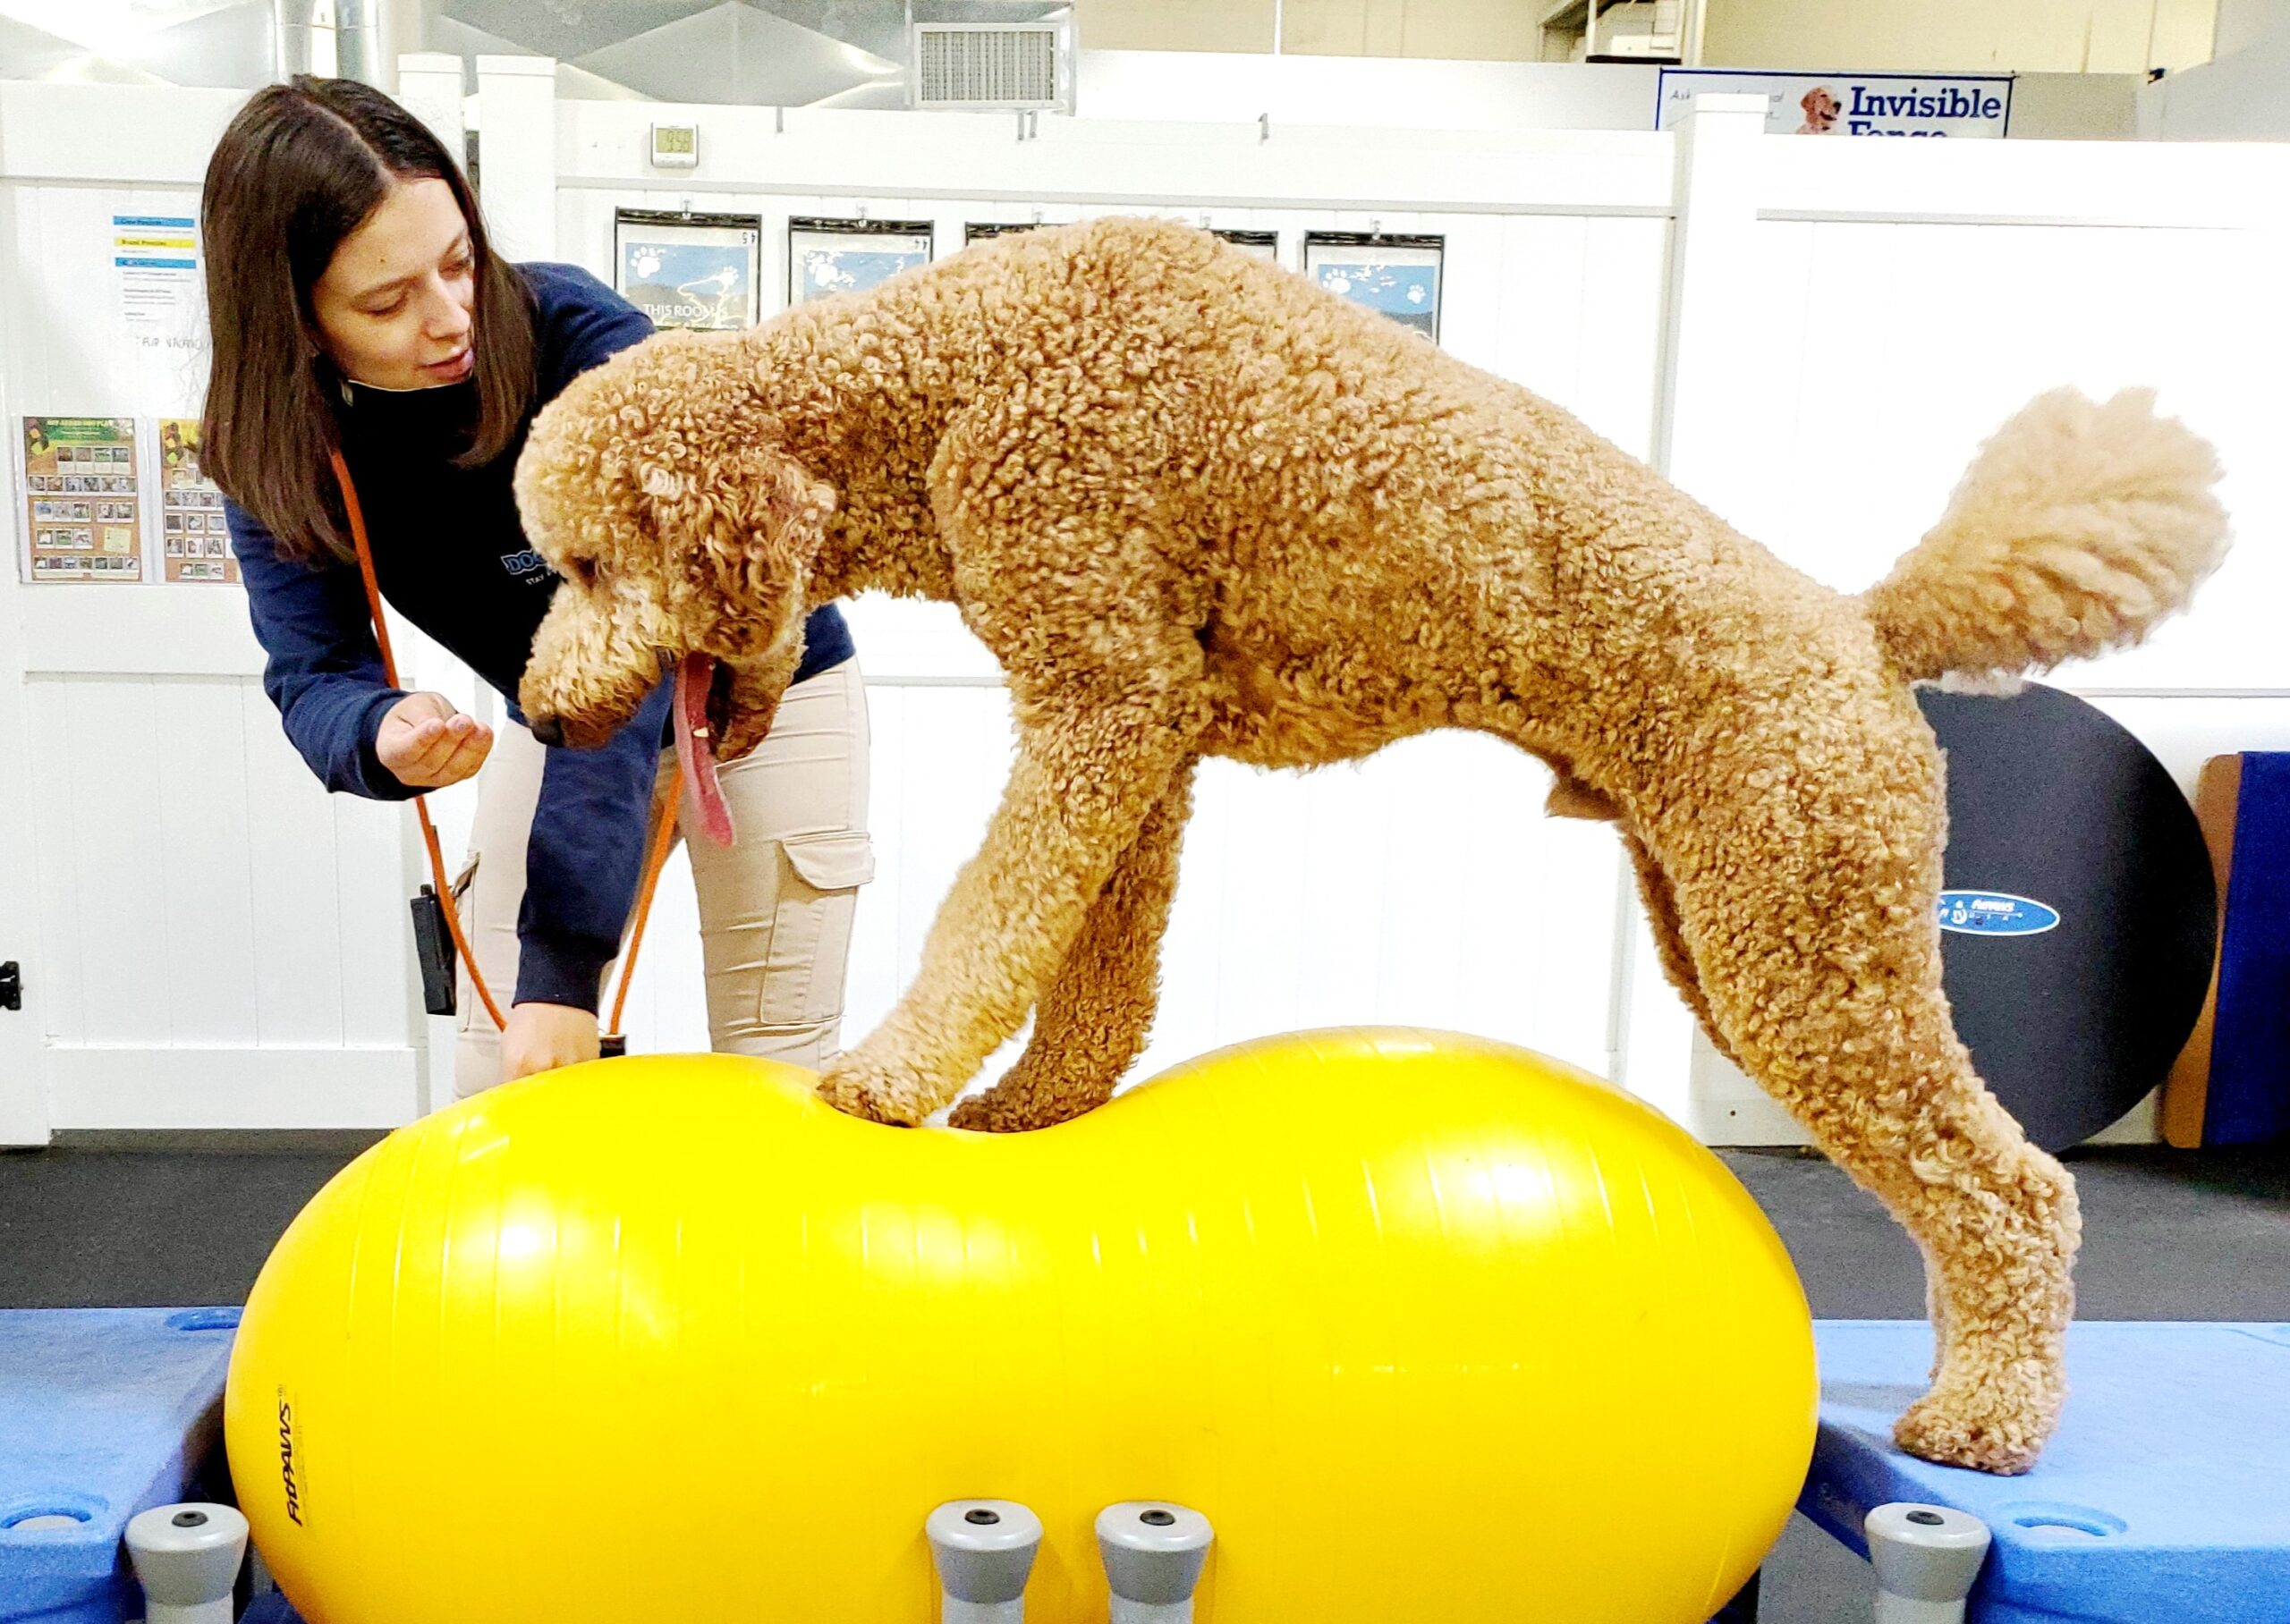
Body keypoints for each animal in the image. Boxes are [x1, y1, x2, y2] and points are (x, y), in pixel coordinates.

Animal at [515, 215, 2217, 1466]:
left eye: (583, 563)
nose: (541, 710)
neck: (942, 375)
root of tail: (1866, 627)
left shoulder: (1100, 687)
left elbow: (996, 911)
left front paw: (889, 1076)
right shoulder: (1147, 727)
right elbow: (1098, 959)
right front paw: (1037, 1105)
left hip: (1802, 932)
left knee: (2011, 1189)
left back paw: (1987, 1419)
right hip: (1745, 935)